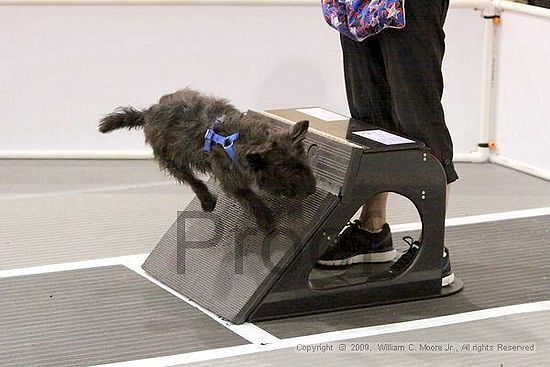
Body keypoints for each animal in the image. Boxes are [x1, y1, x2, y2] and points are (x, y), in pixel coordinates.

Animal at [97, 89, 316, 233]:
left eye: (305, 166)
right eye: (288, 175)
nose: (312, 190)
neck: (240, 139)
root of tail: (147, 113)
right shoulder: (231, 182)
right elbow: (251, 199)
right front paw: (266, 221)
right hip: (171, 160)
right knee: (193, 181)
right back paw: (207, 201)